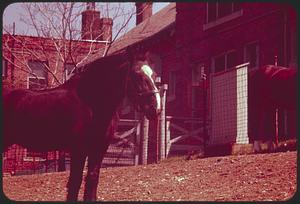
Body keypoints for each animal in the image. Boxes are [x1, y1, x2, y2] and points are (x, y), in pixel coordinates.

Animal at [2, 51, 162, 200]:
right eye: (137, 75)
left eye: (154, 74)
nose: (156, 108)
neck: (92, 102)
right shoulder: (78, 148)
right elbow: (75, 182)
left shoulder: (99, 147)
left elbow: (92, 178)